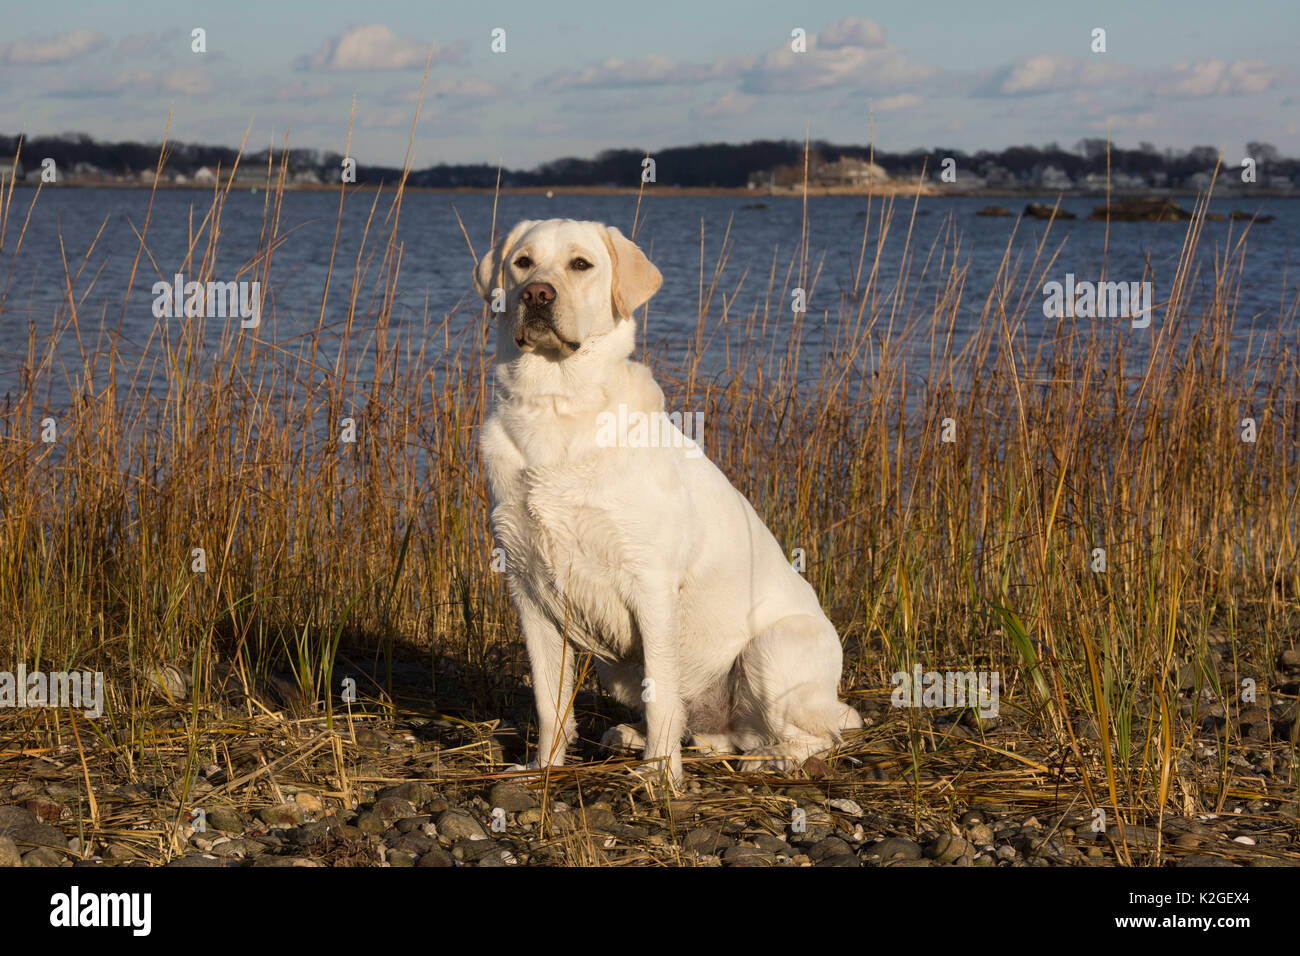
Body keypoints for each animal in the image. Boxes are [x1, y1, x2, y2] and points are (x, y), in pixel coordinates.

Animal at [473, 221, 857, 780]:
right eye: (522, 262)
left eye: (581, 265)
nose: (536, 294)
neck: (555, 405)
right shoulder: (529, 593)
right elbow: (549, 701)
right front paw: (544, 766)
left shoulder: (650, 585)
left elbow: (661, 694)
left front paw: (660, 775)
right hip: (618, 668)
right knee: (711, 732)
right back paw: (636, 736)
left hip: (774, 648)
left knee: (818, 737)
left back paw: (769, 759)